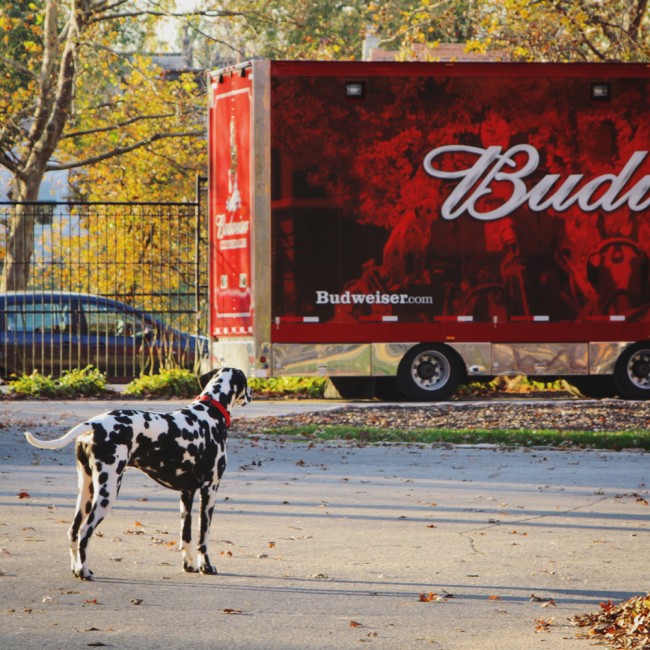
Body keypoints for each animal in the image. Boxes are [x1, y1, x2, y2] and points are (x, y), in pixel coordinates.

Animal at [24, 367, 251, 581]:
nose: (251, 395)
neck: (210, 412)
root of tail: (94, 424)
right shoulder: (209, 490)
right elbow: (203, 536)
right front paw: (206, 567)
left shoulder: (186, 493)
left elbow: (185, 536)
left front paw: (190, 565)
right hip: (107, 493)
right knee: (84, 532)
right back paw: (84, 572)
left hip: (86, 492)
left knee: (72, 531)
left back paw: (75, 569)